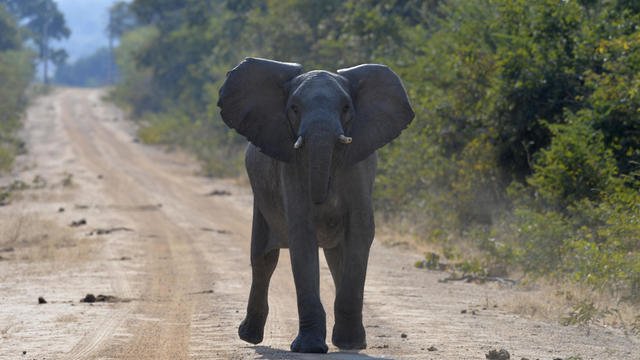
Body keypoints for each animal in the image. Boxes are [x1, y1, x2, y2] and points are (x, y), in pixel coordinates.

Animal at [218, 57, 412, 352]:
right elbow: (302, 234)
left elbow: (361, 231)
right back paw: (249, 336)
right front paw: (309, 347)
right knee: (263, 259)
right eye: (295, 108)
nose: (322, 199)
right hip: (260, 198)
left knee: (335, 258)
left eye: (346, 108)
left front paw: (350, 343)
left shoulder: (358, 168)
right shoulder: (291, 167)